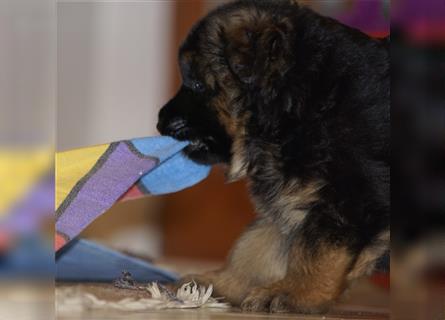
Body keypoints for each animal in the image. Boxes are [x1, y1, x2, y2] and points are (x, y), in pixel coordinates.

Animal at [156, 0, 388, 314]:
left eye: (197, 84)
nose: (160, 122)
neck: (306, 100)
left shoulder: (350, 194)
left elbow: (317, 249)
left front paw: (296, 293)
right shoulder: (291, 197)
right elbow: (257, 244)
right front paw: (222, 284)